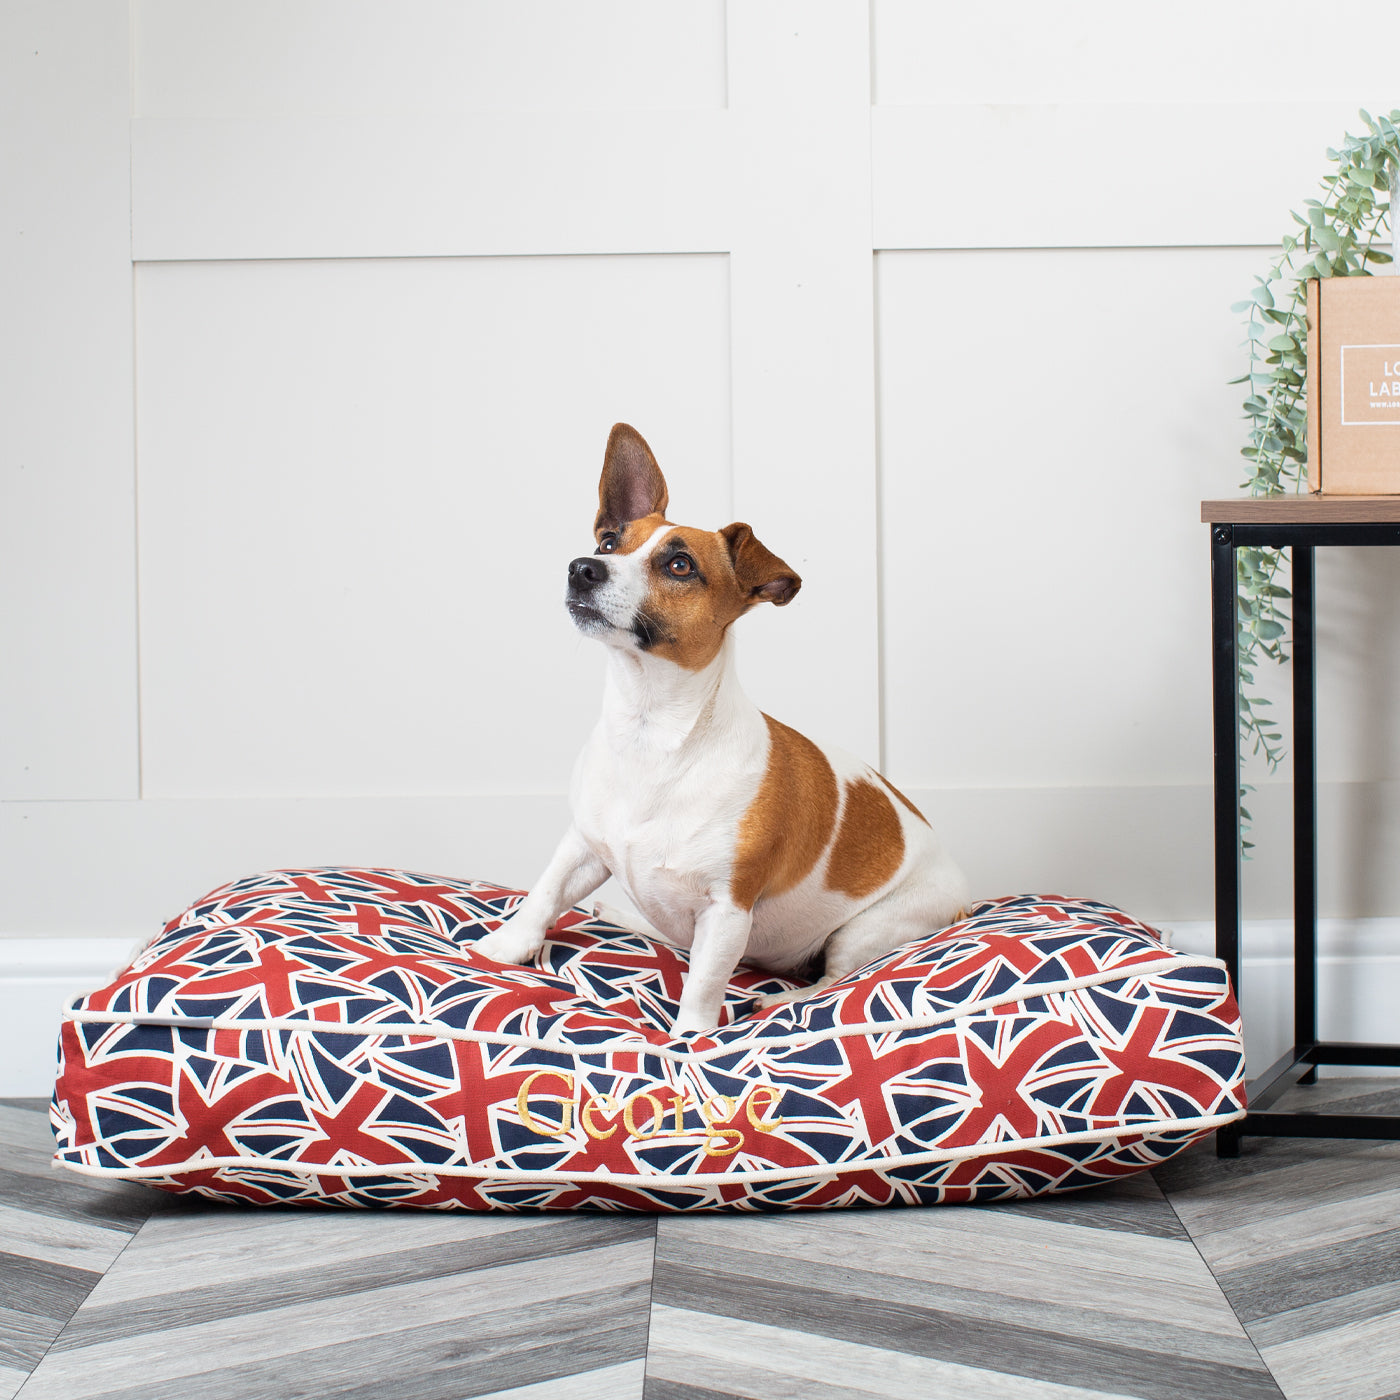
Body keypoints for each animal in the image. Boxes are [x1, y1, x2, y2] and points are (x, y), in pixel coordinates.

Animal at [476, 420, 968, 1036]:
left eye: (680, 566)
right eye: (609, 542)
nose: (582, 567)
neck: (651, 730)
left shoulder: (727, 909)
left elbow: (704, 982)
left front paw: (689, 1039)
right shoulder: (582, 846)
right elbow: (542, 895)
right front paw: (502, 949)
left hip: (867, 929)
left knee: (834, 977)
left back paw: (781, 1001)